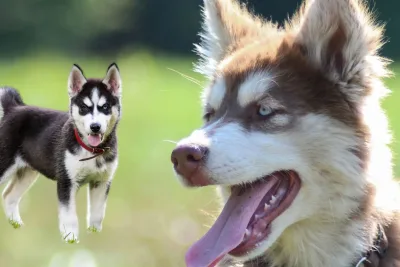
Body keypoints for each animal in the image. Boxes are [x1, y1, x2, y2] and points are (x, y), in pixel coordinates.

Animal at [0, 63, 122, 244]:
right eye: (84, 108)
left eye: (105, 107)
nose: (95, 127)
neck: (91, 150)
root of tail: (13, 109)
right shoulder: (66, 181)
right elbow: (69, 215)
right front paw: (70, 240)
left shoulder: (101, 182)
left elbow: (97, 214)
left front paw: (94, 237)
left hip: (28, 172)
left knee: (9, 195)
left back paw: (18, 227)